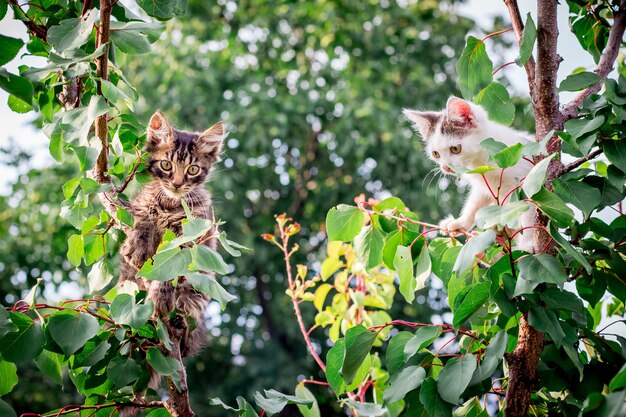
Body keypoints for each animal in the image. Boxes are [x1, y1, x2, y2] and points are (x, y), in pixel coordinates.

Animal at [119, 112, 224, 356]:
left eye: (193, 169)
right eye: (166, 165)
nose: (176, 184)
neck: (170, 203)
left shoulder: (190, 235)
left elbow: (169, 267)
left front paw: (161, 296)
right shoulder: (140, 203)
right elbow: (144, 216)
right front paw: (137, 246)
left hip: (200, 286)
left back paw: (181, 324)